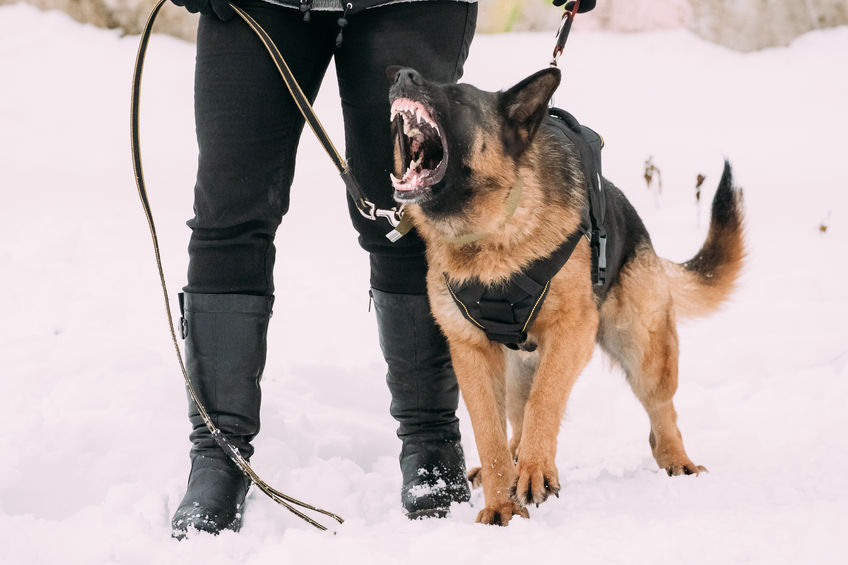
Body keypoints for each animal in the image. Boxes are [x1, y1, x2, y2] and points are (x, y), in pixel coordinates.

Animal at [388, 67, 744, 524]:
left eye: (459, 96)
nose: (402, 73)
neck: (491, 235)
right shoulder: (471, 352)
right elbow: (489, 433)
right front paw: (501, 504)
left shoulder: (571, 332)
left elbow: (546, 400)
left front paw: (537, 471)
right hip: (518, 367)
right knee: (516, 419)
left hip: (643, 350)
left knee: (661, 411)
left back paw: (676, 460)